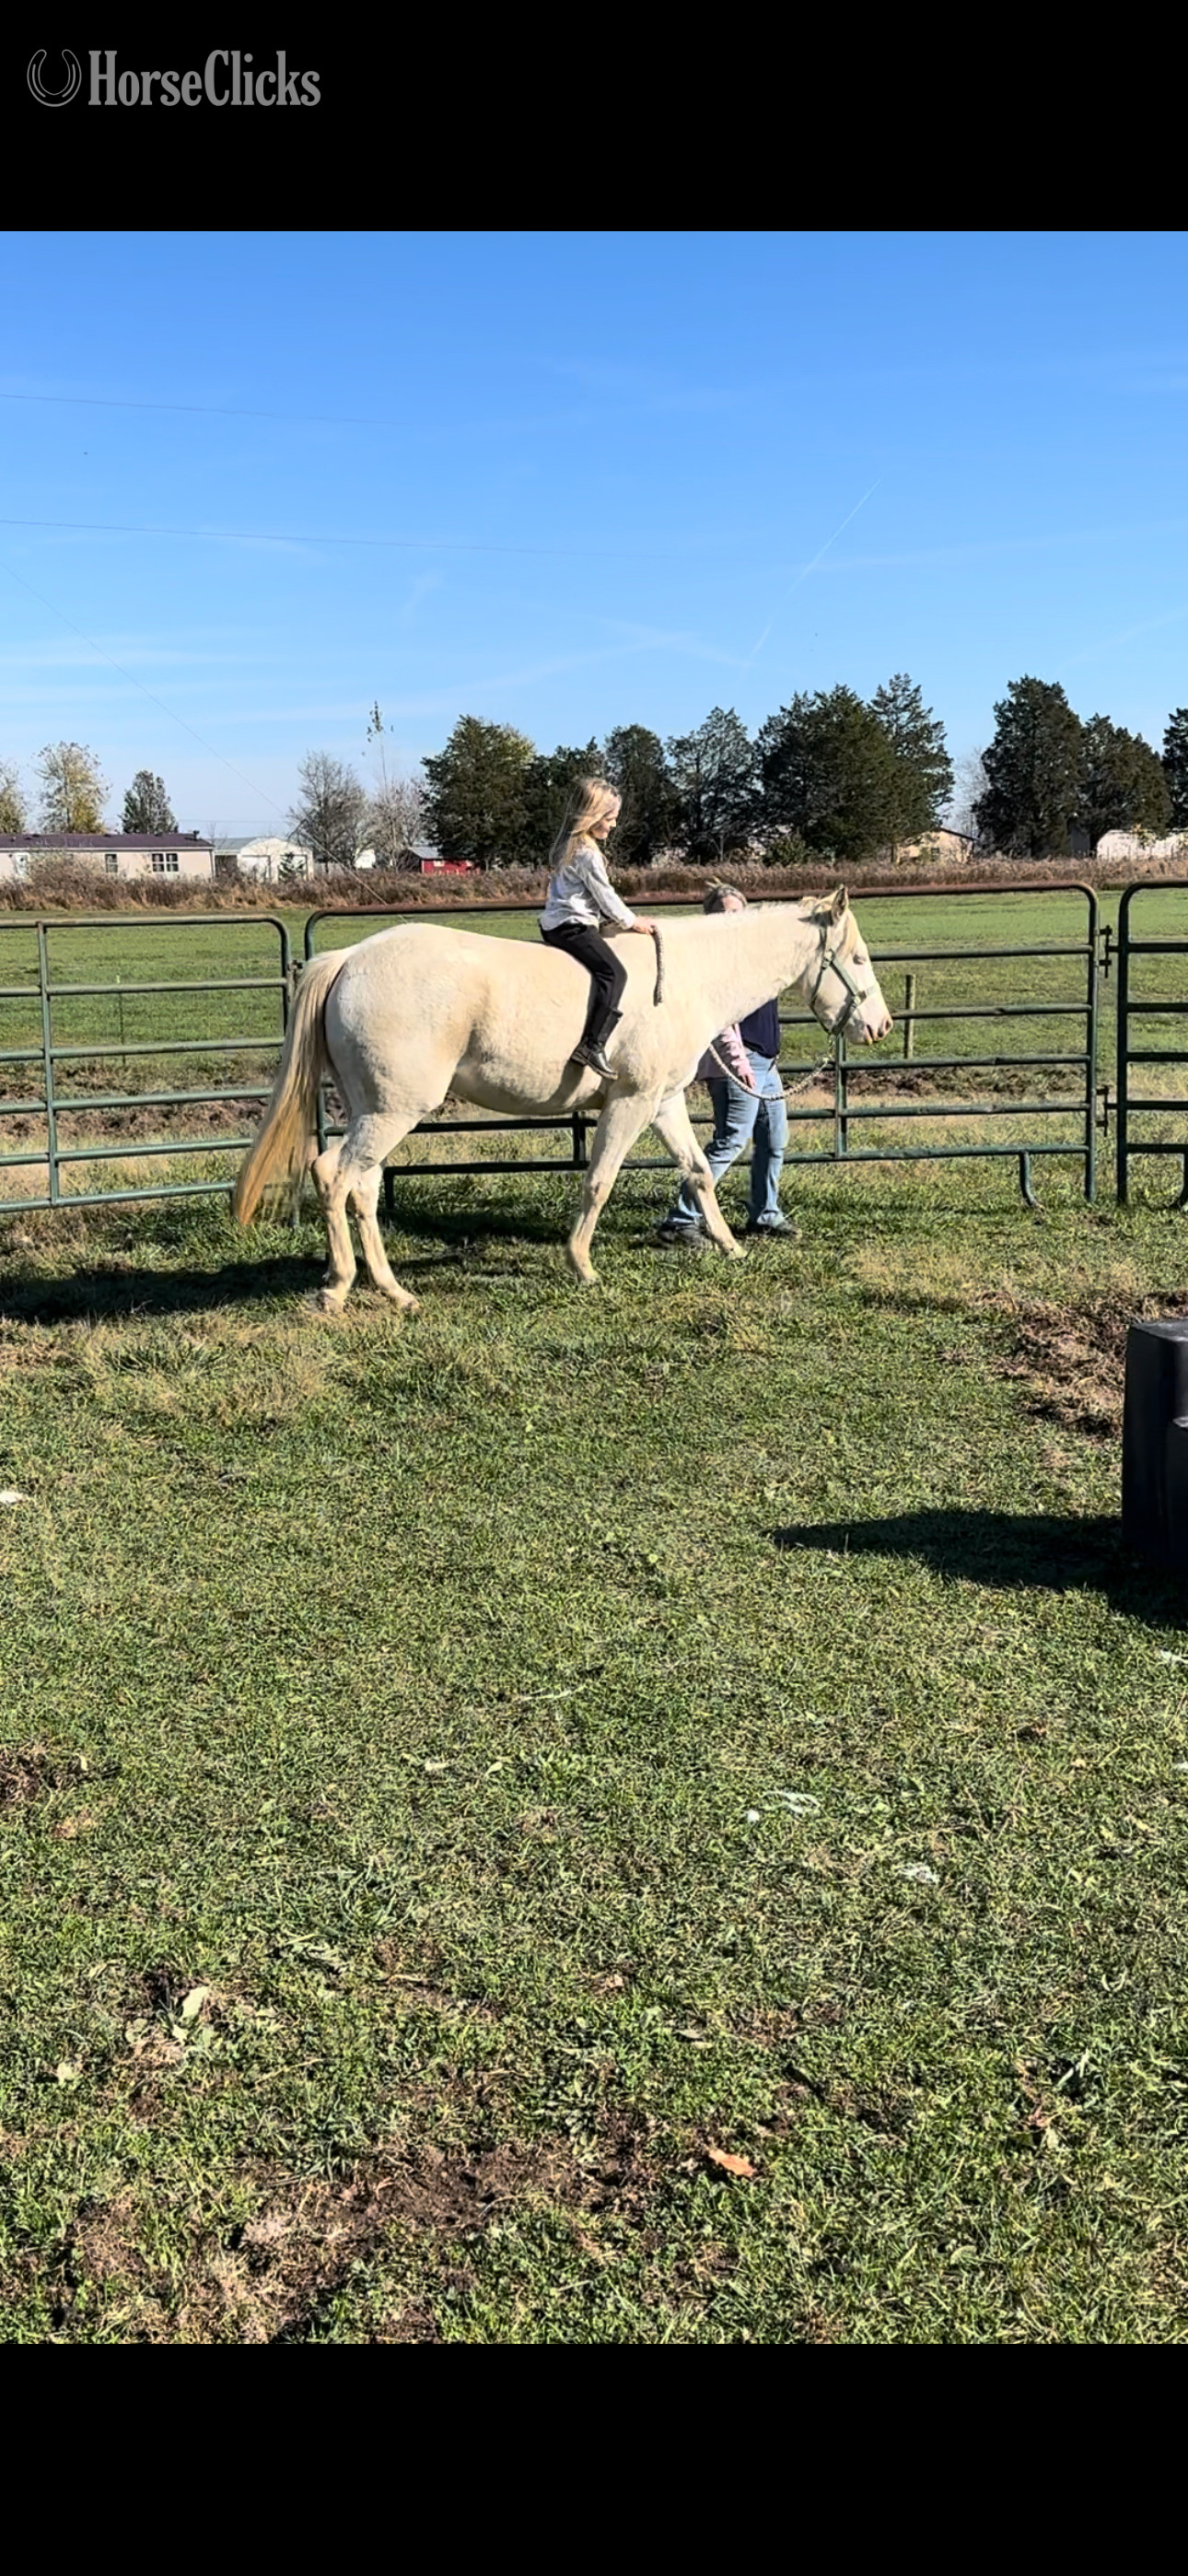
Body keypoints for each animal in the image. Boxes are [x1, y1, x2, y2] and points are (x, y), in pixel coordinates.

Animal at [232, 887, 893, 1311]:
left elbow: (699, 1171)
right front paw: (582, 1264)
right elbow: (599, 1180)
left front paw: (730, 1247)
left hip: (374, 1111)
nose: (880, 1026)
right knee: (333, 1175)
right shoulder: (630, 1103)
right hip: (392, 1113)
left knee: (362, 1187)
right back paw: (340, 1285)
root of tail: (349, 960)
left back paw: (393, 1290)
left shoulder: (663, 1103)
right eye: (859, 957)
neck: (686, 978)